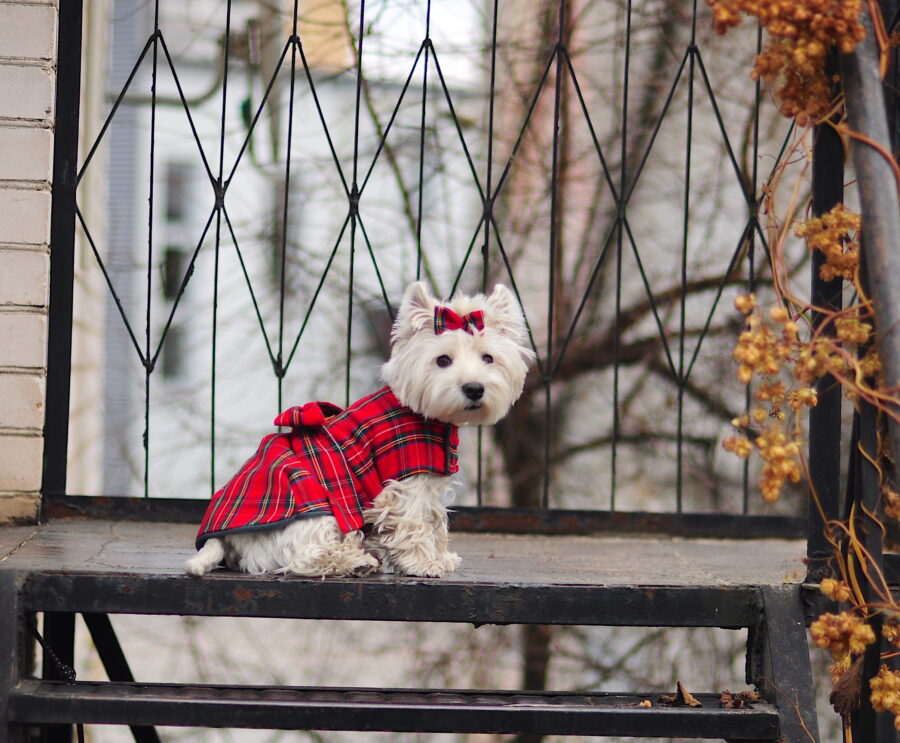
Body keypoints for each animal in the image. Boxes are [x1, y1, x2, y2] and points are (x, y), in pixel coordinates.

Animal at [185, 282, 532, 580]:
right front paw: (423, 564)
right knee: (305, 557)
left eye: (488, 358)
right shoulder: (405, 483)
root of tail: (223, 539)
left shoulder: (428, 484)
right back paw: (357, 561)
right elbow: (415, 522)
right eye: (443, 360)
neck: (422, 412)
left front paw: (442, 557)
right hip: (321, 512)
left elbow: (436, 520)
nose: (474, 388)